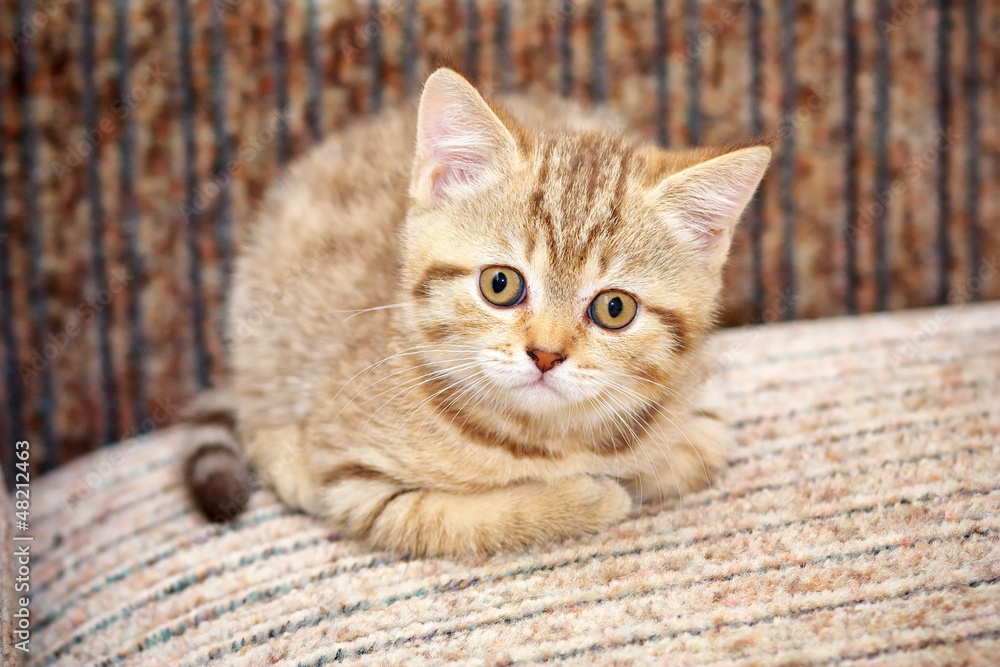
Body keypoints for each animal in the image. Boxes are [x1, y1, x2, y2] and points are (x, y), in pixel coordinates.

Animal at [182, 66, 772, 560]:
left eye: (613, 309)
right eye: (500, 284)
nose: (545, 354)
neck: (540, 440)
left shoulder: (707, 413)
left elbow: (687, 455)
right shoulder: (358, 484)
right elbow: (458, 519)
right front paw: (583, 499)